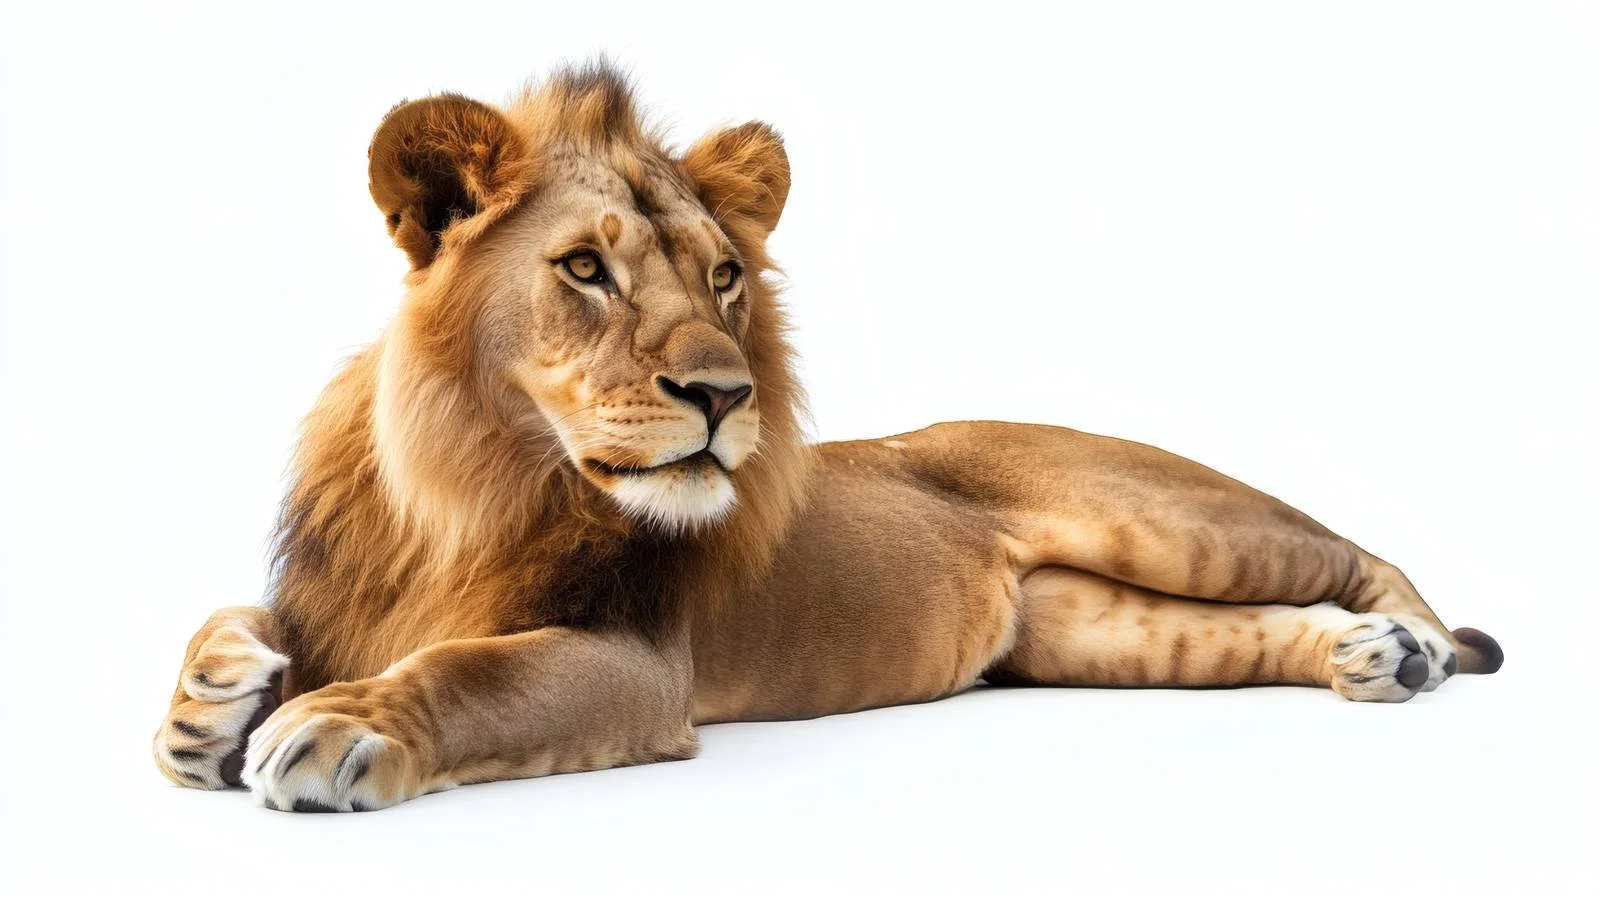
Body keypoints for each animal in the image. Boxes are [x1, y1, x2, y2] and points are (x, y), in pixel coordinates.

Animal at [153, 63, 1503, 812]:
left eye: (724, 276)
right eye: (584, 268)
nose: (723, 393)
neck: (467, 489)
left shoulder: (635, 662)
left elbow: (468, 672)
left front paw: (344, 726)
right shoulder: (337, 595)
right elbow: (232, 614)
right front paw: (210, 705)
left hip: (1175, 519)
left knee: (1359, 552)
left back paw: (1424, 648)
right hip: (1090, 627)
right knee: (1252, 628)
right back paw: (1368, 658)